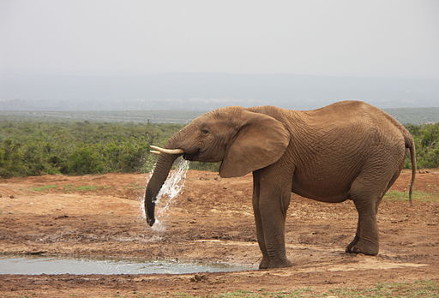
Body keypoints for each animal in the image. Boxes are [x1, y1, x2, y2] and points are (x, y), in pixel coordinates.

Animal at [144, 100, 416, 270]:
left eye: (205, 131)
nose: (151, 222)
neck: (250, 111)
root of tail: (402, 129)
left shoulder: (284, 155)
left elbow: (271, 200)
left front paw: (277, 267)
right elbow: (256, 202)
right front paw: (264, 267)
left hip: (381, 155)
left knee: (362, 195)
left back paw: (362, 252)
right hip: (384, 159)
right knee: (370, 200)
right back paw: (352, 249)